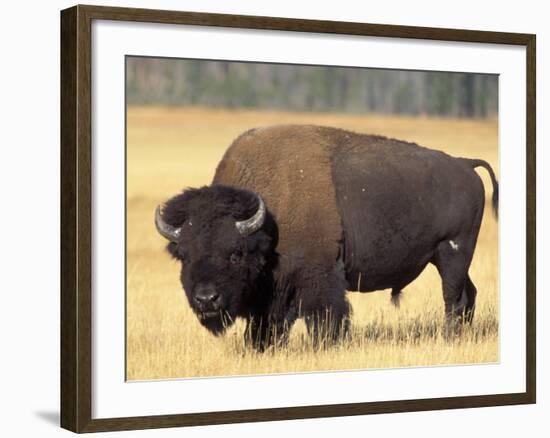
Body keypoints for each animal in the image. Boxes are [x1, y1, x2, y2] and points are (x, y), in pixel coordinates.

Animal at [154, 125, 500, 350]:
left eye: (235, 253)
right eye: (184, 255)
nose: (206, 299)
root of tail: (464, 165)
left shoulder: (318, 277)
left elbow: (325, 316)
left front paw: (327, 345)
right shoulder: (273, 292)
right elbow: (267, 324)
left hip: (453, 252)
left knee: (453, 298)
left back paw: (450, 338)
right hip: (447, 258)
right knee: (468, 294)